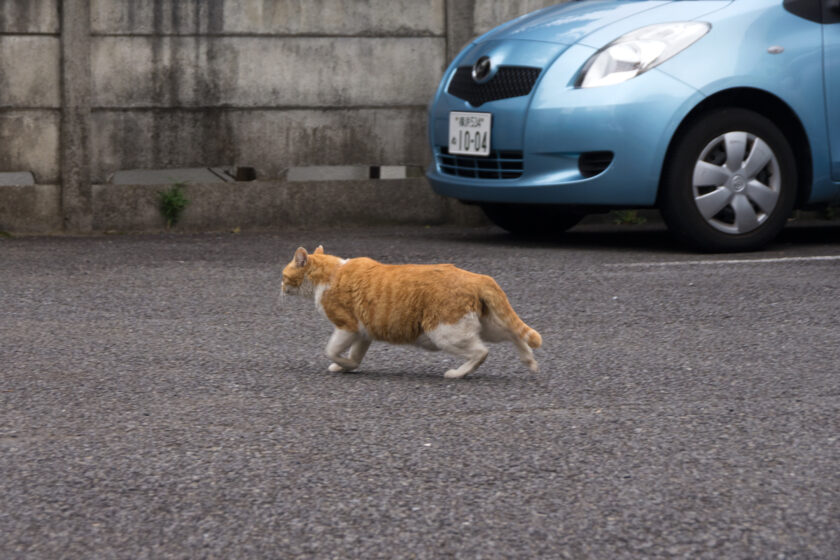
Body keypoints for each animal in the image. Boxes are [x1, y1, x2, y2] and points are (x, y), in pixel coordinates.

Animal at [280, 247, 544, 378]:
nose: (279, 287)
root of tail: (478, 277)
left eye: (283, 276)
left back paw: (457, 374)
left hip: (445, 332)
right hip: (487, 325)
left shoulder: (348, 327)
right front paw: (346, 366)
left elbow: (331, 350)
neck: (330, 273)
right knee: (514, 334)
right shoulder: (365, 332)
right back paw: (529, 361)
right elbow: (355, 356)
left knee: (481, 352)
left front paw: (340, 363)